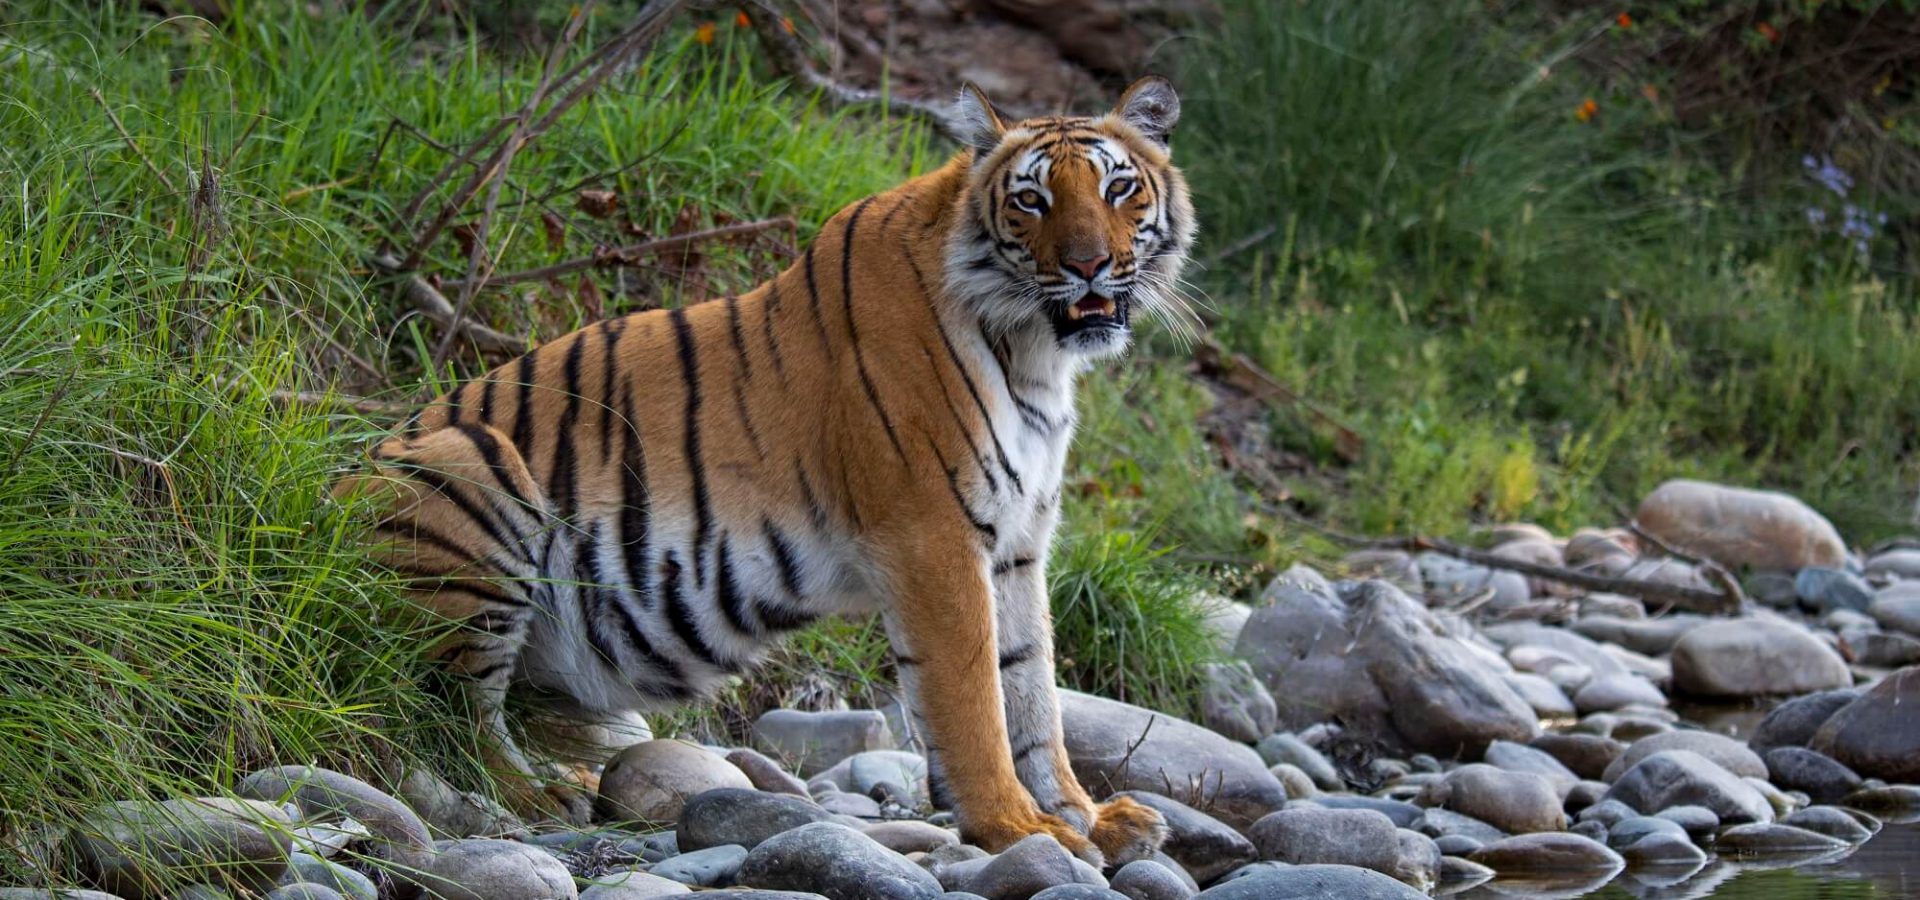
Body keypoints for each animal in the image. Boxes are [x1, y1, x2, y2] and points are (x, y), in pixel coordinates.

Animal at [337, 77, 1190, 863]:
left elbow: (1033, 693)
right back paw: (544, 795)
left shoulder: (1017, 545)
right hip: (473, 465)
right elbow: (973, 695)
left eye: (1119, 188)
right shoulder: (934, 536)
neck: (1038, 352)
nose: (1089, 266)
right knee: (447, 713)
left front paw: (1090, 819)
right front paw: (1016, 828)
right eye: (1032, 201)